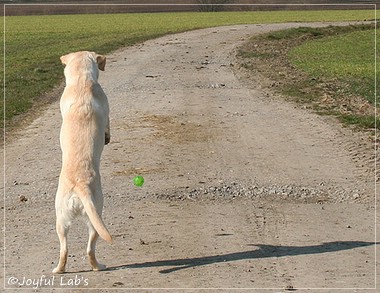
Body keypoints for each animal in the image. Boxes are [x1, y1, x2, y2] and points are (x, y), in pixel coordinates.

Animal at [53, 50, 113, 274]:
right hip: (97, 213)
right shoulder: (107, 108)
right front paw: (107, 136)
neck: (81, 80)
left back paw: (59, 270)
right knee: (90, 249)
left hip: (60, 219)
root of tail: (80, 186)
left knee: (65, 249)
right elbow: (108, 124)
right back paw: (99, 266)